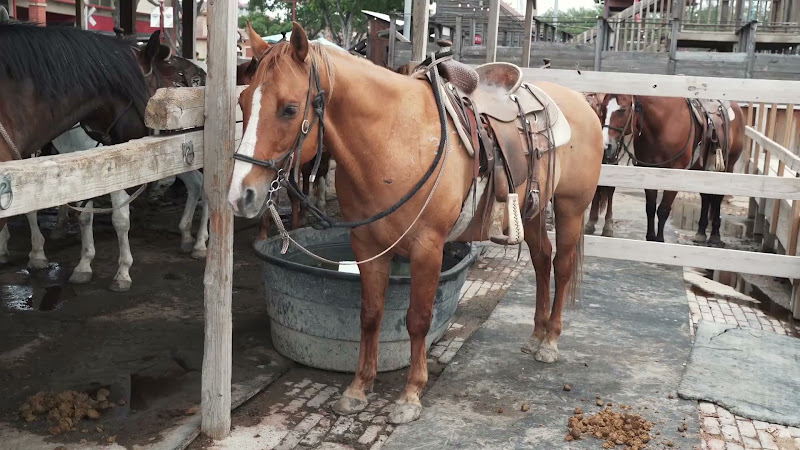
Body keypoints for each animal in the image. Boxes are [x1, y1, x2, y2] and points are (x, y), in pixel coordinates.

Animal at [0, 23, 206, 290]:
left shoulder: (113, 169)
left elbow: (119, 218)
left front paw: (122, 272)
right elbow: (80, 216)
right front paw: (80, 264)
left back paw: (200, 243)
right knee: (196, 185)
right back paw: (188, 236)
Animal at [227, 22, 603, 424]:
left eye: (289, 108)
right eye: (243, 102)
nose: (240, 195)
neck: (394, 140)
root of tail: (581, 102)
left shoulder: (428, 247)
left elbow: (418, 319)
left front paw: (410, 395)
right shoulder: (367, 244)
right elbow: (370, 315)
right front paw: (358, 388)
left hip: (570, 208)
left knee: (561, 265)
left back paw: (550, 341)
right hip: (532, 208)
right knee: (541, 260)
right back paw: (536, 335)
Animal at [602, 94, 744, 245]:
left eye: (622, 110)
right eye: (603, 107)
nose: (606, 147)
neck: (664, 124)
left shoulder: (675, 172)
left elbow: (663, 209)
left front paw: (659, 240)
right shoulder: (649, 170)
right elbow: (650, 207)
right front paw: (650, 238)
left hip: (728, 167)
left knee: (717, 197)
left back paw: (715, 236)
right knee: (705, 196)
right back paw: (700, 233)